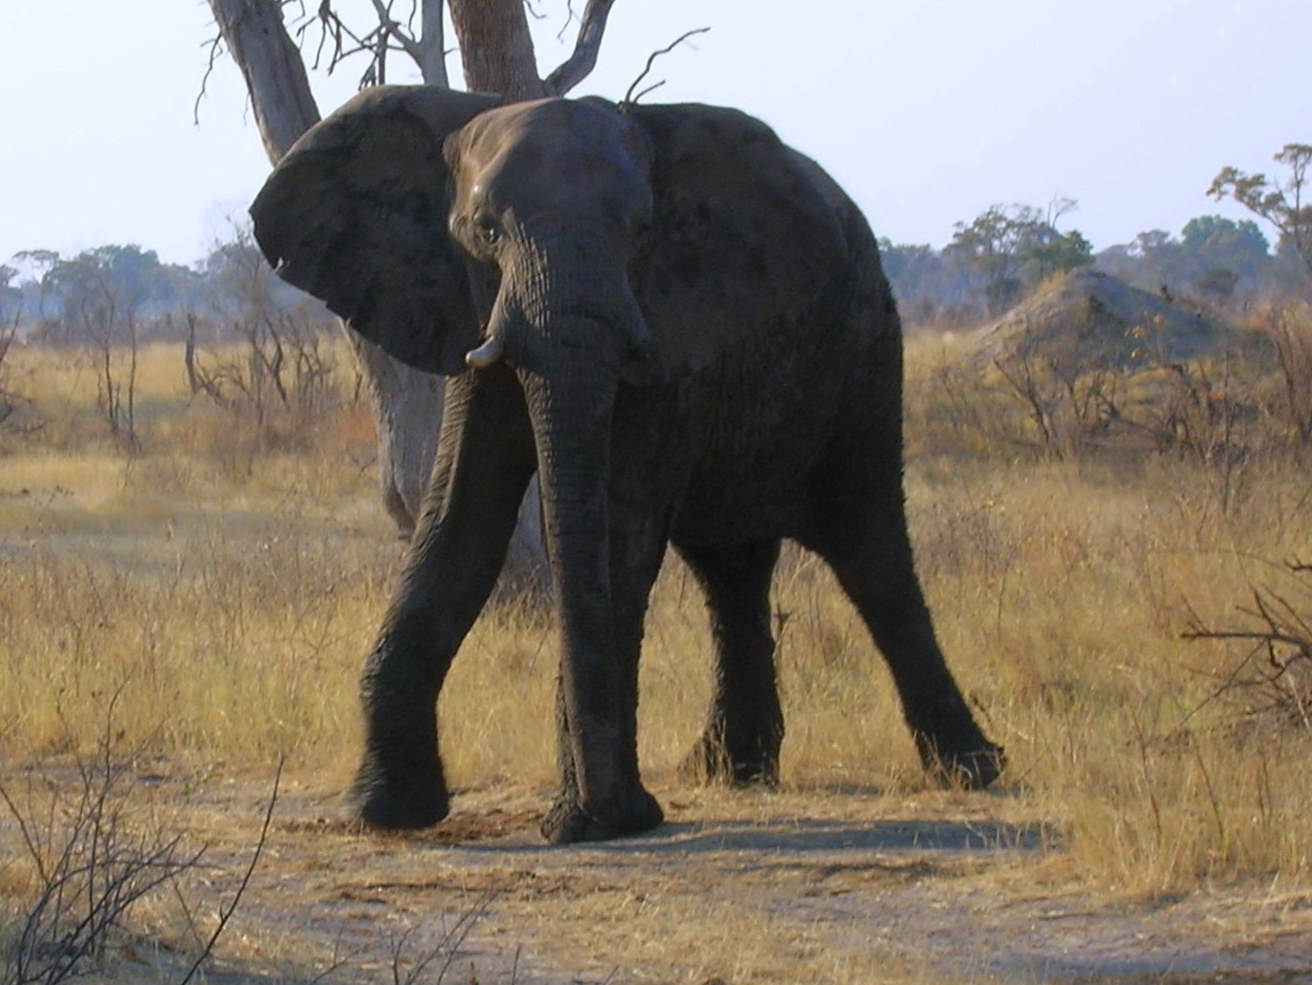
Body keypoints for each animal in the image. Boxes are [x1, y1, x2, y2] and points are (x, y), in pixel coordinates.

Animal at [250, 85, 1003, 844]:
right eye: (485, 231)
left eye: (642, 231)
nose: (612, 807)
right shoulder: (468, 319)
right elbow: (460, 521)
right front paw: (382, 812)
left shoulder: (671, 331)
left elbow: (617, 534)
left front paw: (591, 822)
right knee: (732, 569)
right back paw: (730, 772)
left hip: (866, 349)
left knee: (870, 548)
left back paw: (971, 770)